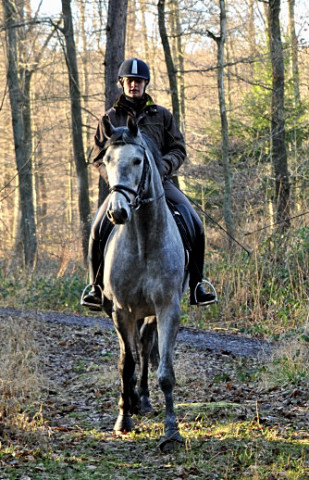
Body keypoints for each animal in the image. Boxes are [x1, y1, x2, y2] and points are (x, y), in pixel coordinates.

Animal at [97, 114, 186, 452]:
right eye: (106, 160)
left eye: (138, 160)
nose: (117, 212)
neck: (144, 241)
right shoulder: (121, 310)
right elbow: (126, 363)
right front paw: (124, 419)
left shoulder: (167, 308)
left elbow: (165, 372)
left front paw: (172, 432)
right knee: (134, 352)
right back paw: (133, 402)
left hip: (149, 313)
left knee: (146, 348)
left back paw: (144, 399)